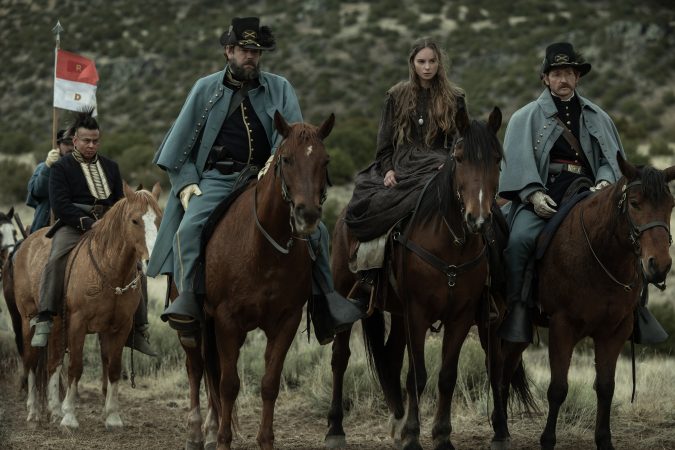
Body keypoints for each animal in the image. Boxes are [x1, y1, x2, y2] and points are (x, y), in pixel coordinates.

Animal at [6, 184, 162, 428]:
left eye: (159, 218)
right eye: (135, 220)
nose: (150, 262)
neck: (109, 271)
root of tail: (25, 244)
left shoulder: (120, 327)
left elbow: (113, 368)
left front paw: (112, 417)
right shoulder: (78, 325)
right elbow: (76, 367)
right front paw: (69, 417)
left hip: (56, 326)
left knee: (53, 362)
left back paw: (54, 410)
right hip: (27, 319)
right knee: (31, 361)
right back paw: (34, 411)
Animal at [324, 107, 536, 448]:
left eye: (496, 159)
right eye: (459, 158)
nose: (478, 219)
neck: (451, 246)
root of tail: (344, 216)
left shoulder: (461, 316)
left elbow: (447, 376)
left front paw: (441, 436)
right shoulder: (418, 314)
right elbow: (418, 375)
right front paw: (413, 435)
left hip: (408, 314)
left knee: (398, 356)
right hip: (348, 296)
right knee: (340, 357)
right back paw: (335, 429)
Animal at [500, 156, 672, 450]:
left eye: (670, 205)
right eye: (635, 203)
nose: (659, 265)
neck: (599, 253)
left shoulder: (614, 331)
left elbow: (605, 387)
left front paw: (604, 440)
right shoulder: (562, 327)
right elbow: (558, 389)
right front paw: (547, 441)